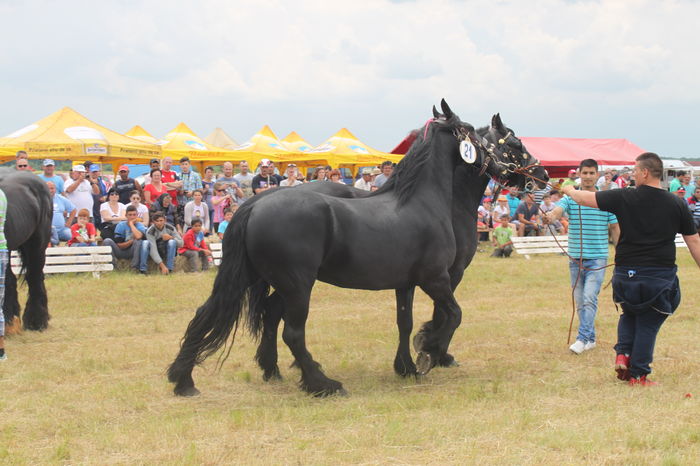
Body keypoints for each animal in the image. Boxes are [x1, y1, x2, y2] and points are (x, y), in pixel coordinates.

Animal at [168, 100, 548, 397]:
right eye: (512, 141)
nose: (542, 176)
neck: (429, 202)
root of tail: (255, 205)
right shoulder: (439, 278)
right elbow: (452, 315)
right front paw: (430, 351)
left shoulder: (407, 284)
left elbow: (405, 322)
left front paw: (407, 365)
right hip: (297, 285)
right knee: (292, 331)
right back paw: (322, 383)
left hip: (257, 278)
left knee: (214, 314)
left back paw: (190, 378)